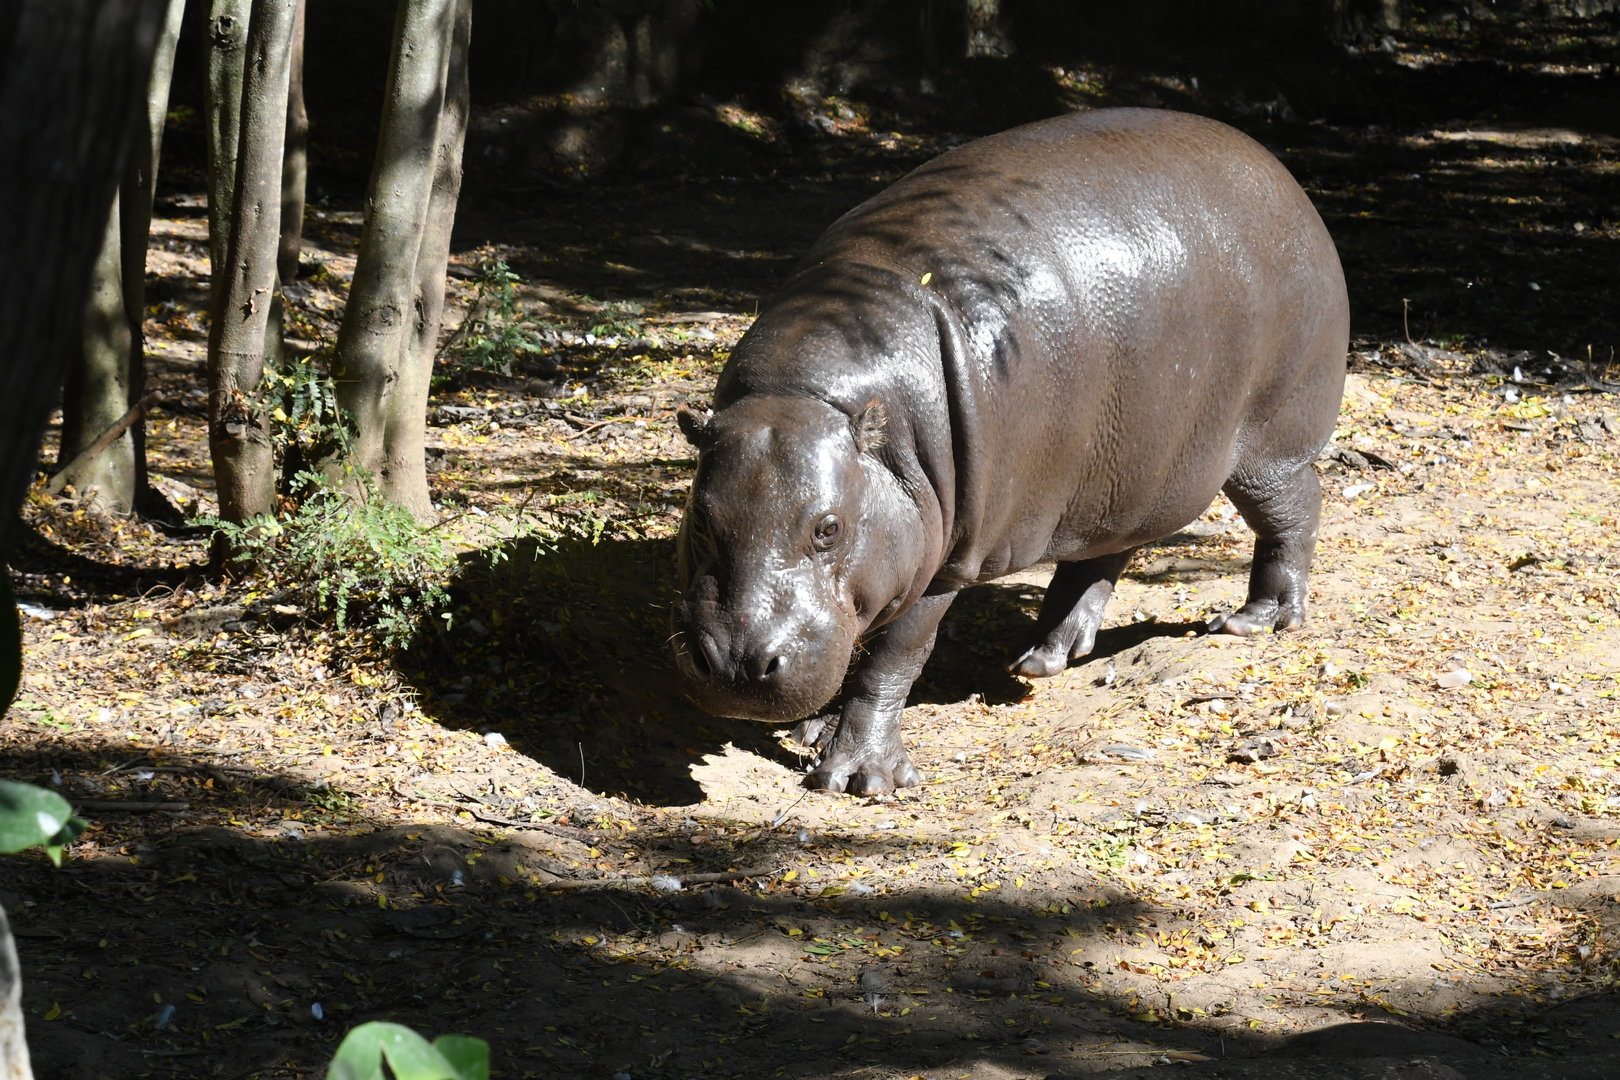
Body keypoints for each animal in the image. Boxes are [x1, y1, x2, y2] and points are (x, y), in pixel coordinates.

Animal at [672, 108, 1348, 796]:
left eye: (828, 528)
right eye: (700, 516)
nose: (736, 664)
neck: (804, 397)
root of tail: (1279, 173)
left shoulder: (945, 563)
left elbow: (892, 656)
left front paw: (858, 777)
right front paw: (814, 733)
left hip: (1269, 444)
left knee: (1295, 508)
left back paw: (1256, 620)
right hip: (1124, 469)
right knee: (1101, 553)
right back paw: (1040, 659)